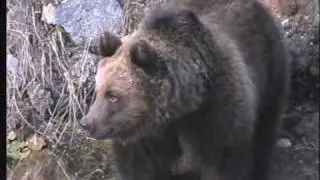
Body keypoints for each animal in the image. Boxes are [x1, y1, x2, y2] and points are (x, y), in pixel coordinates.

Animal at [79, 0, 290, 179]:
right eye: (98, 91)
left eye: (113, 96)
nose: (86, 124)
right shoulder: (144, 138)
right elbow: (138, 168)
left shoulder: (215, 114)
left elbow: (224, 163)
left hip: (268, 67)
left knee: (265, 129)